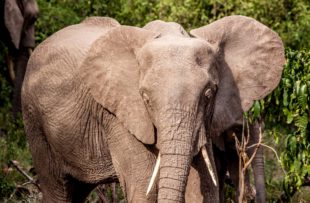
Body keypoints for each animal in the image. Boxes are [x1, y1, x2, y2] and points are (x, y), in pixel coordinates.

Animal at [20, 15, 284, 202]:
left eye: (209, 95)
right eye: (146, 99)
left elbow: (204, 189)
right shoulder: (119, 115)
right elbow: (143, 189)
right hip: (34, 121)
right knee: (58, 189)